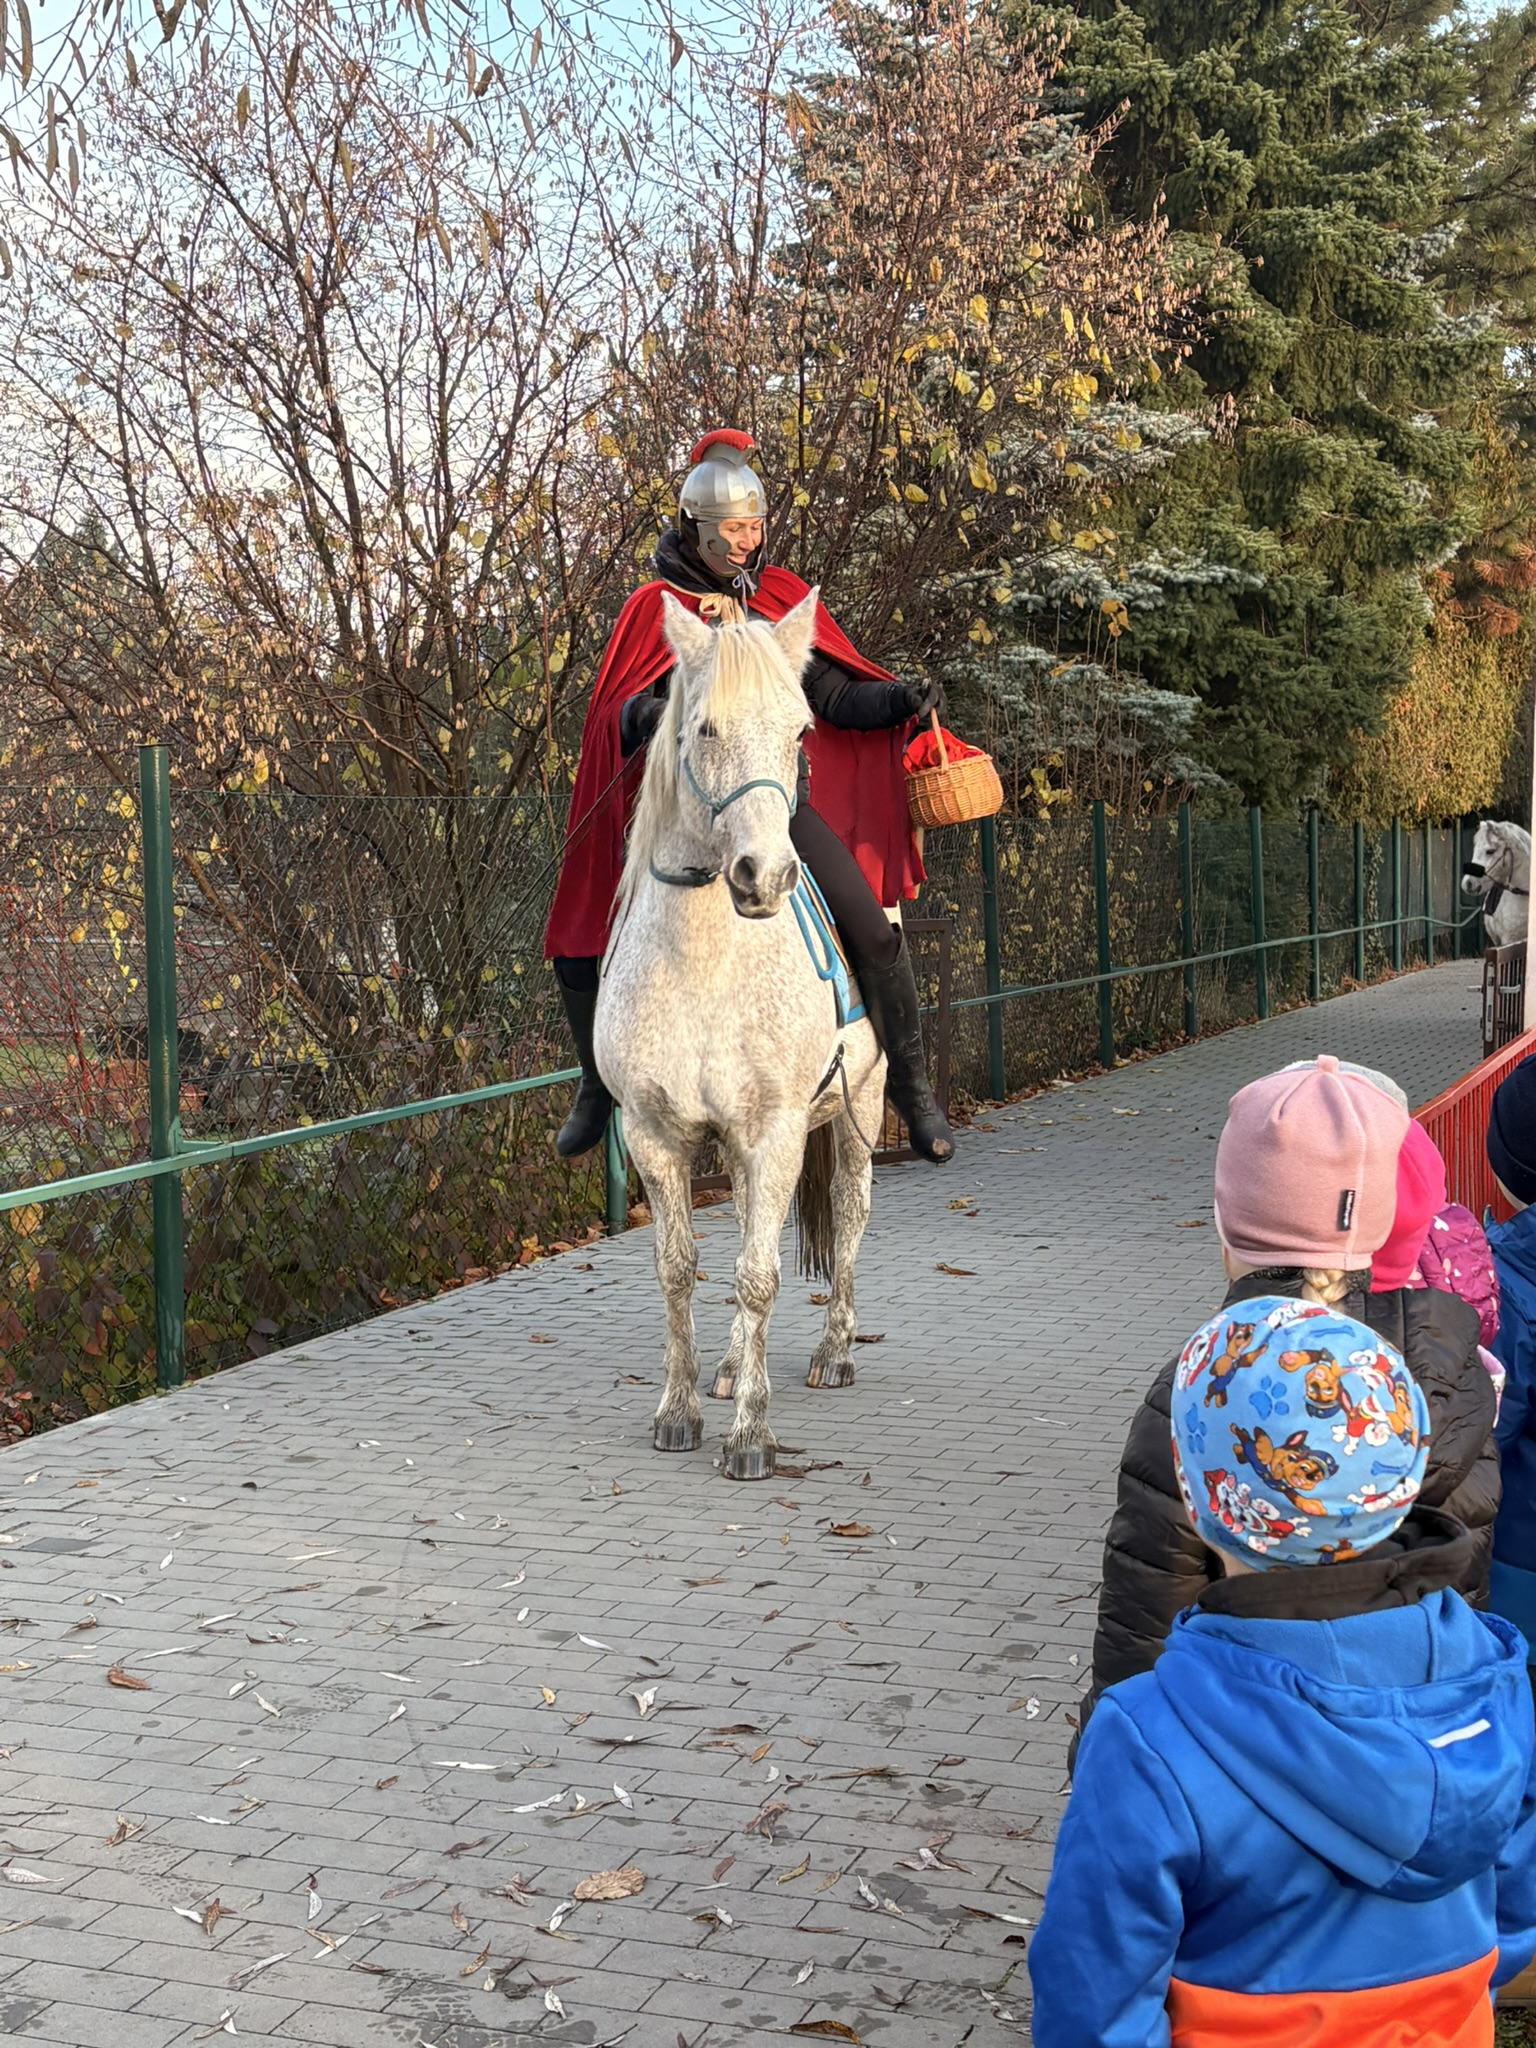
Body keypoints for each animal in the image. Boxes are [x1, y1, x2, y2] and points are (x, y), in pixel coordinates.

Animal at [594, 591, 887, 1481]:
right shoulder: (657, 1134)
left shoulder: (774, 1129)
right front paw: (681, 1409)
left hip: (859, 1114)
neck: (703, 965)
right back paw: (729, 1366)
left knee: (851, 1219)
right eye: (705, 730)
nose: (765, 875)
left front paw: (752, 1435)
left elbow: (759, 1275)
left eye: (799, 732)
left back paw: (834, 1353)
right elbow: (680, 1271)